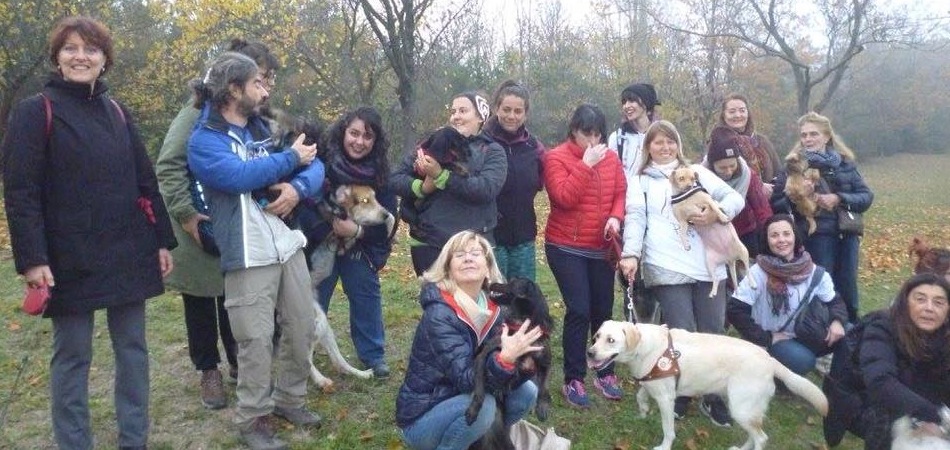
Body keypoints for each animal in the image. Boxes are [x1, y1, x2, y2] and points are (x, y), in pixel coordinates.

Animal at [466, 278, 556, 450]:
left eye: (512, 282)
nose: (489, 282)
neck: (523, 325)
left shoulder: (545, 361)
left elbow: (544, 387)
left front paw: (542, 407)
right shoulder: (483, 357)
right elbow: (479, 390)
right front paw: (473, 411)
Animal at [592, 320, 828, 450]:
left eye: (611, 340)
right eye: (596, 336)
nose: (589, 352)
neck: (645, 346)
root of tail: (769, 358)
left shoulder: (667, 399)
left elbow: (668, 429)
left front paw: (664, 446)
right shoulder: (652, 384)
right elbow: (640, 395)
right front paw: (642, 413)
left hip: (741, 408)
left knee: (762, 438)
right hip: (744, 410)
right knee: (756, 435)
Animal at [668, 167, 760, 298]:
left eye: (693, 178)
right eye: (681, 178)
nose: (689, 186)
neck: (685, 198)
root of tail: (729, 258)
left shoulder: (708, 202)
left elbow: (716, 209)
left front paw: (722, 217)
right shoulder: (683, 222)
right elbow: (681, 234)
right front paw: (686, 245)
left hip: (744, 252)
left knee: (748, 271)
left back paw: (752, 284)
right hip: (710, 265)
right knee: (718, 279)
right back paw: (714, 292)